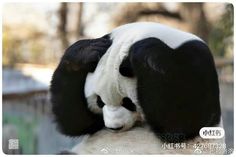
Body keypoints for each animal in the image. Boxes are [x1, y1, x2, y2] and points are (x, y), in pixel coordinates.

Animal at [50, 22, 225, 155]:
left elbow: (182, 120)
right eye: (100, 102)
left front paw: (143, 51)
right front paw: (85, 51)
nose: (114, 128)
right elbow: (78, 121)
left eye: (128, 102)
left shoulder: (195, 60)